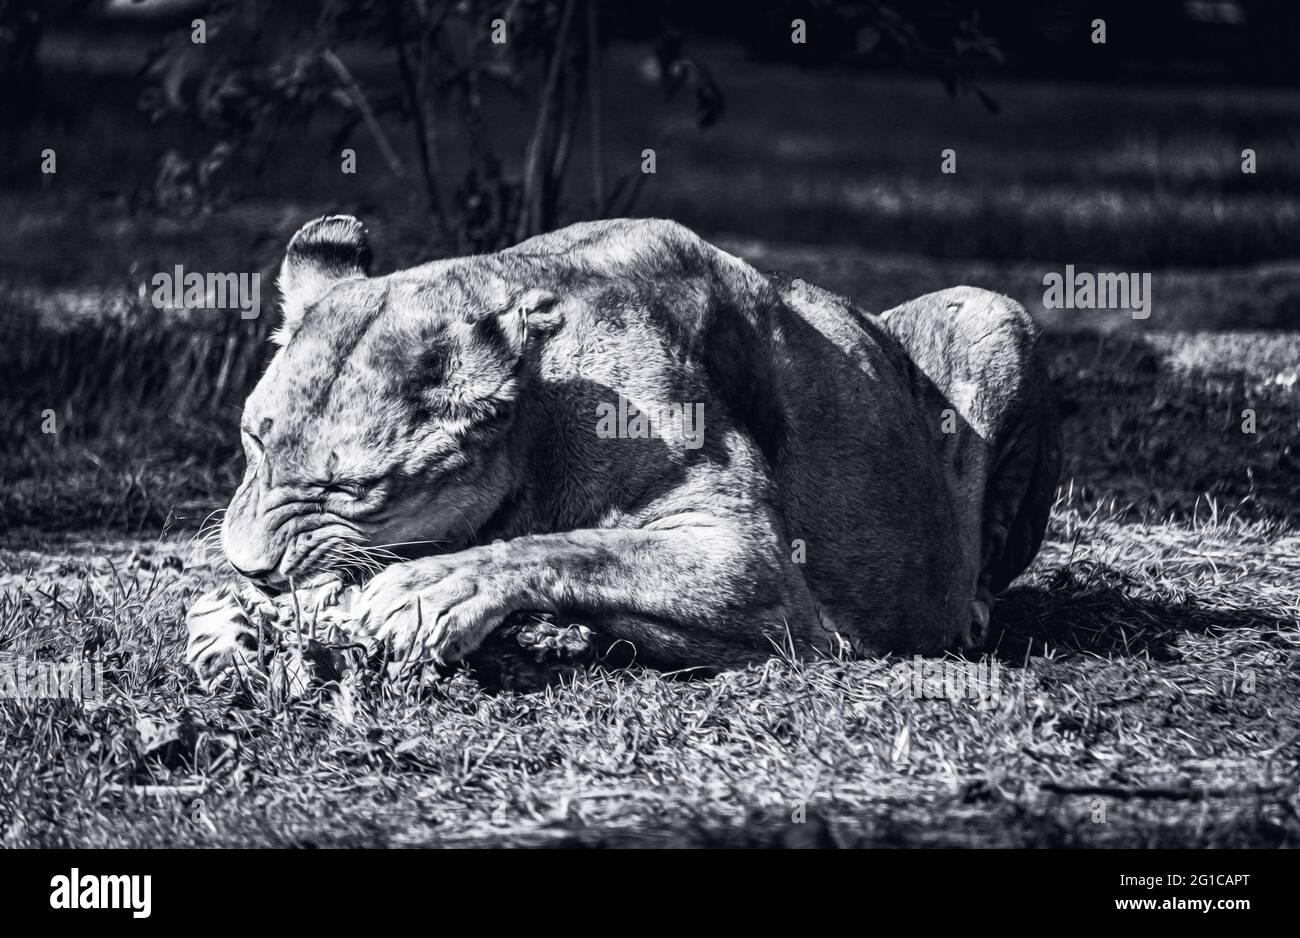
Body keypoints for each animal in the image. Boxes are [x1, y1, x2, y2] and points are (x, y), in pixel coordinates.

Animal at [186, 215, 1060, 683]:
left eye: (347, 491)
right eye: (252, 443)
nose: (249, 568)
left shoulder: (754, 561)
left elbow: (576, 547)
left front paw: (426, 591)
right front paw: (229, 620)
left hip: (994, 313)